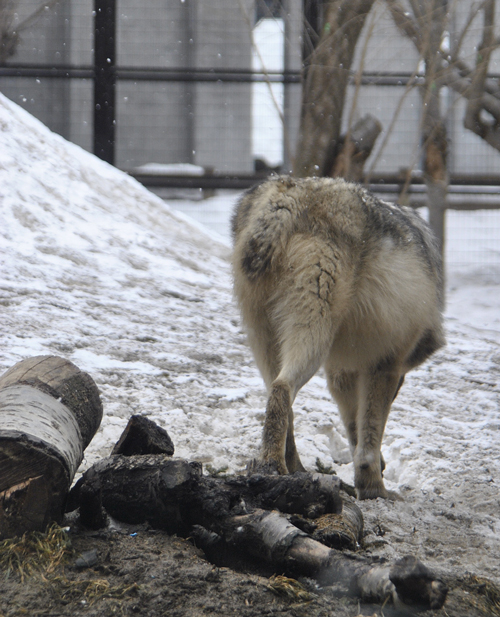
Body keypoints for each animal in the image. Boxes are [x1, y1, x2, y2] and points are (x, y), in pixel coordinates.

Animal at [230, 176, 446, 498]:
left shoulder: (341, 373)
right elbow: (369, 438)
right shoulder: (385, 365)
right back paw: (276, 468)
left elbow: (355, 426)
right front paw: (374, 488)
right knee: (282, 390)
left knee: (280, 399)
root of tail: (286, 195)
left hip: (265, 339)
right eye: (399, 388)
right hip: (313, 336)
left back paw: (293, 468)